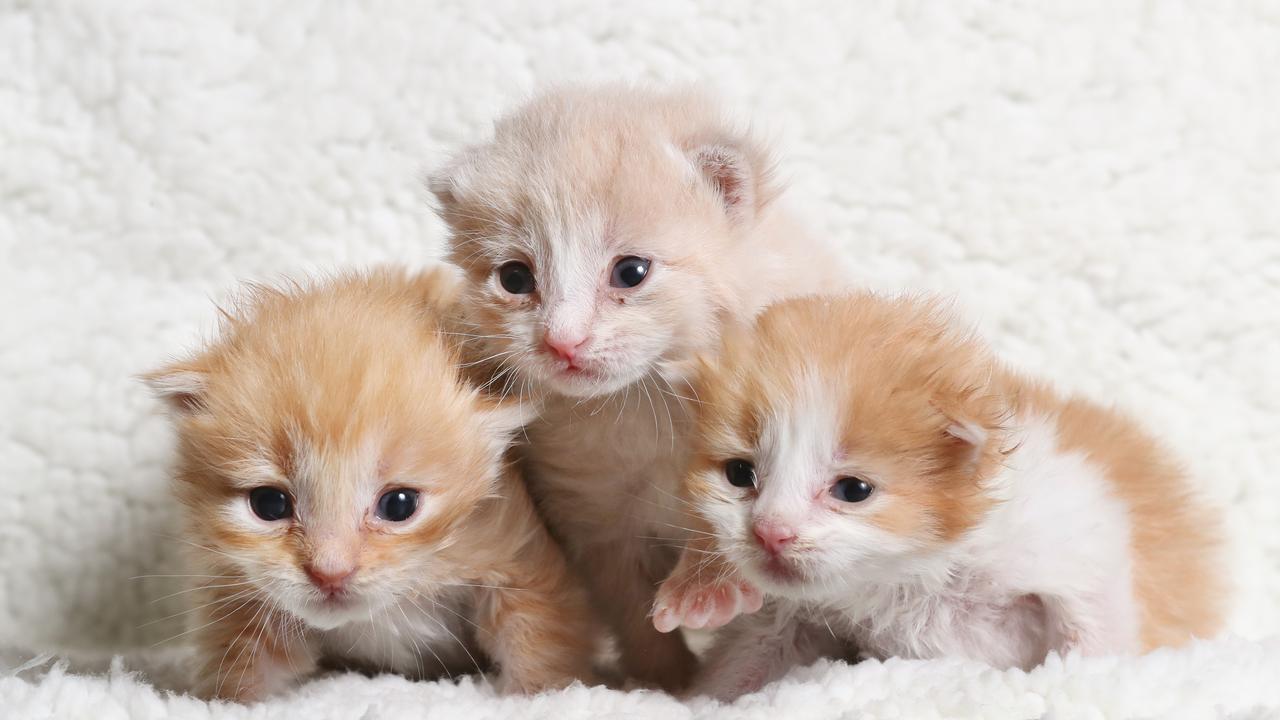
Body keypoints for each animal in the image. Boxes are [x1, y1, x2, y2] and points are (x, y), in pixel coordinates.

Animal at [142, 266, 601, 696]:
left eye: (399, 505)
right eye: (269, 505)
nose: (329, 574)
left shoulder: (517, 555)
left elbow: (538, 637)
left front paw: (541, 693)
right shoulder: (235, 587)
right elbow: (241, 666)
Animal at [430, 85, 849, 691]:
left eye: (630, 271)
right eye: (514, 278)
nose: (563, 342)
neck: (645, 404)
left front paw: (705, 588)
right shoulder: (597, 519)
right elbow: (633, 610)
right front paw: (663, 682)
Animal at [655, 289, 1223, 696]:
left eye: (853, 489)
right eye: (739, 474)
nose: (771, 533)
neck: (911, 574)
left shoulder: (1073, 527)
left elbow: (1093, 612)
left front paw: (1089, 679)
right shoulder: (796, 611)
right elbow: (752, 651)